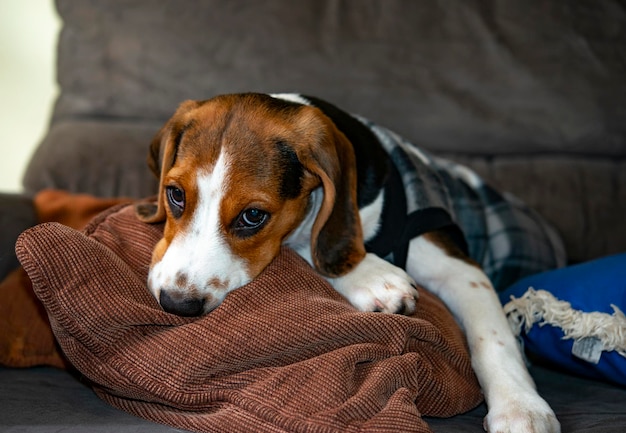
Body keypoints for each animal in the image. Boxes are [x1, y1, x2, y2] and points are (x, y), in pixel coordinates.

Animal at [138, 93, 564, 432]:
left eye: (253, 216)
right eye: (175, 194)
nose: (177, 303)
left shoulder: (458, 267)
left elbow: (493, 338)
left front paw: (521, 409)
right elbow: (308, 241)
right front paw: (373, 275)